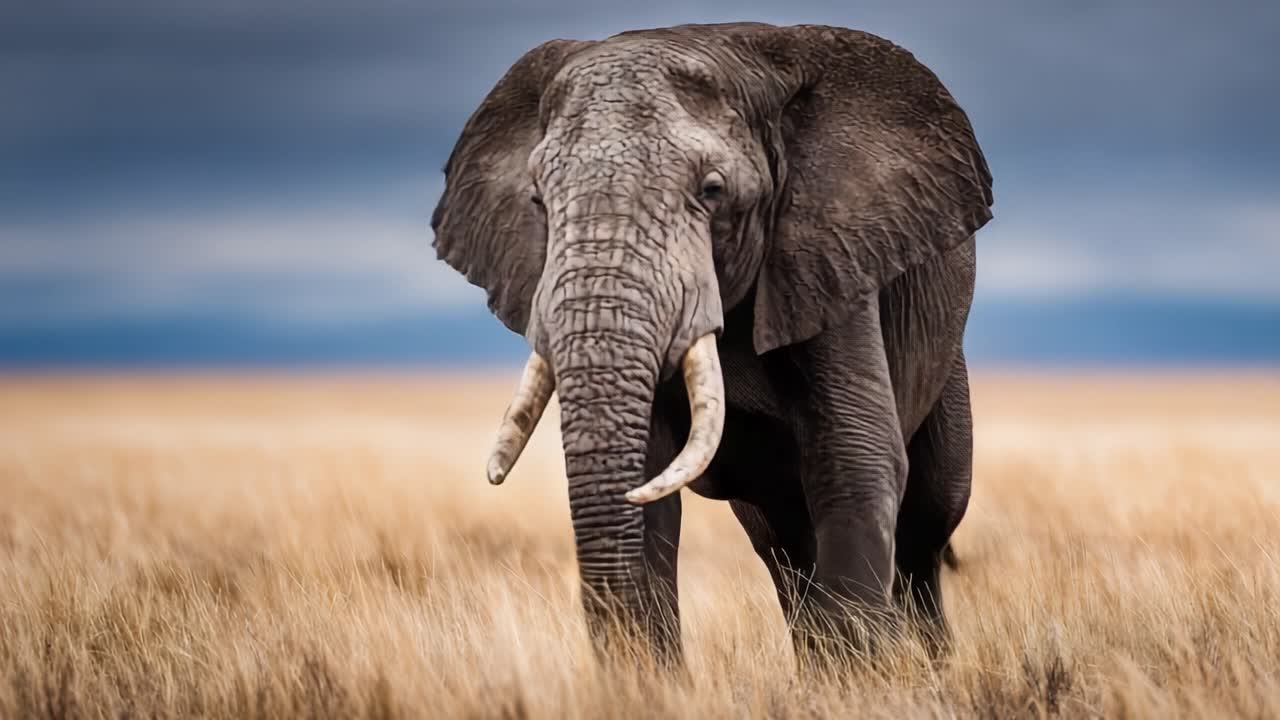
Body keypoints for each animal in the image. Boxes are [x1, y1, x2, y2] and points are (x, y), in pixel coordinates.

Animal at [430, 22, 992, 662]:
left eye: (713, 189)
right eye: (537, 201)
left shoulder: (833, 252)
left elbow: (854, 454)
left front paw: (866, 674)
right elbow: (649, 487)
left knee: (928, 521)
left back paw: (926, 661)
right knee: (781, 542)